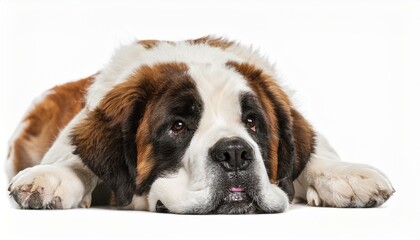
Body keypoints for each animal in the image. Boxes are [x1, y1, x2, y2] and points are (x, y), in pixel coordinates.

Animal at [4, 36, 396, 213]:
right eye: (177, 127)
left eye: (252, 123)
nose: (235, 153)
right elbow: (71, 156)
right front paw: (53, 176)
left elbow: (314, 153)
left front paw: (344, 174)